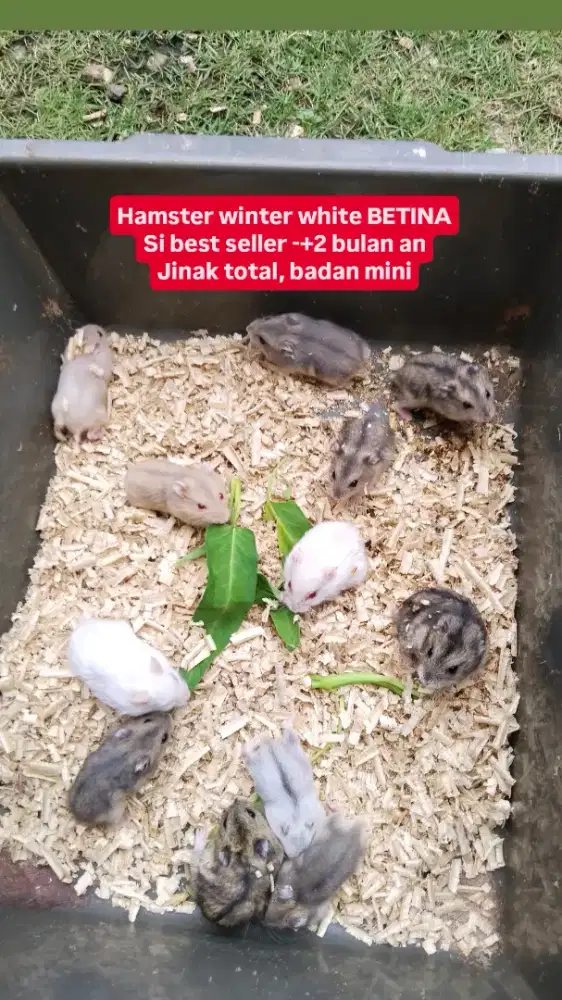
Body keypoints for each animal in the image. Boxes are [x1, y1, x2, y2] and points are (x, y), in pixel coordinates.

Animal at [189, 797, 285, 928]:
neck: (243, 851)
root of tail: (210, 918)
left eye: (251, 813)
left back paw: (201, 832)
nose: (235, 799)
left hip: (201, 865)